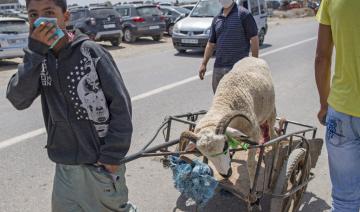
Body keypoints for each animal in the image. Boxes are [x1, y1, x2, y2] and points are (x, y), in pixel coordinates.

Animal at [183, 57, 276, 185]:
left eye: (225, 146)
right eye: (204, 154)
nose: (225, 174)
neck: (225, 100)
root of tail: (252, 57)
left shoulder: (255, 135)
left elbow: (251, 165)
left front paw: (253, 187)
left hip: (270, 110)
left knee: (272, 131)